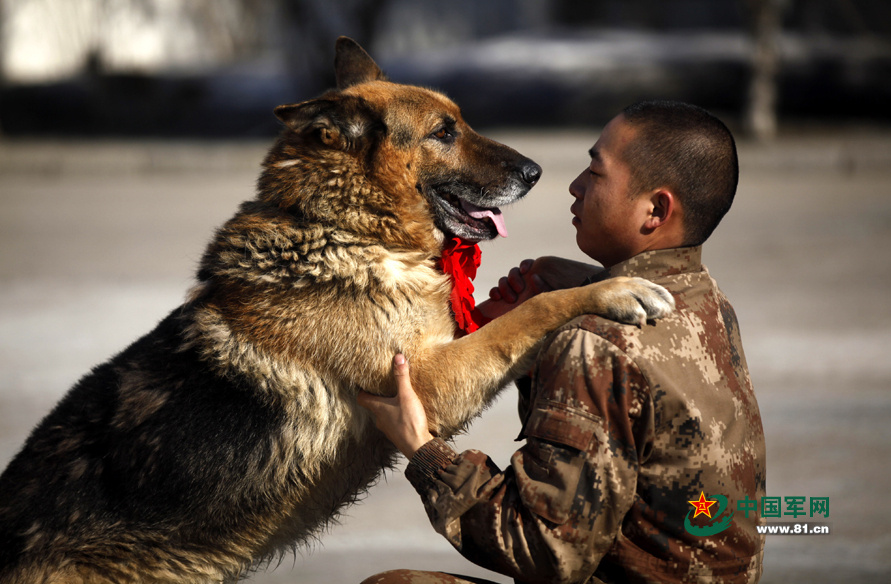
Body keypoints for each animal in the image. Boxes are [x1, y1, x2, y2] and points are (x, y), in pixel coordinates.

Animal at [0, 38, 668, 580]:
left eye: (461, 123)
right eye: (443, 132)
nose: (536, 171)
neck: (344, 230)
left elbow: (524, 298)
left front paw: (602, 273)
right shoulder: (432, 380)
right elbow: (527, 316)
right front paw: (614, 291)